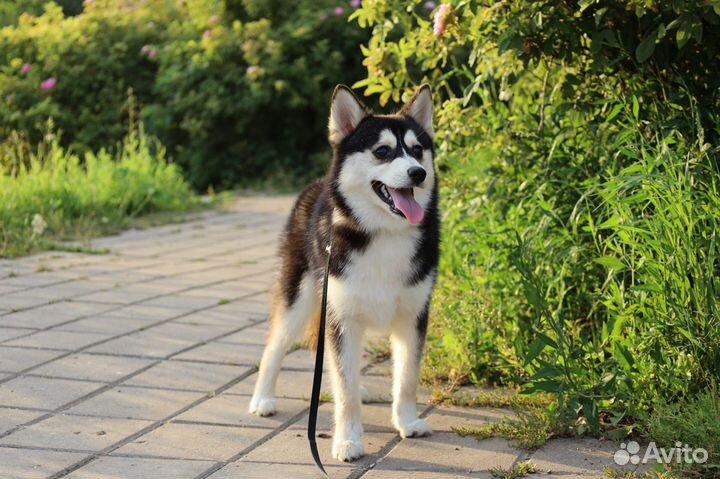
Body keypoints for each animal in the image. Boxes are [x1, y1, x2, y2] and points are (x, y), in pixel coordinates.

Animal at [248, 84, 438, 464]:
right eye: (383, 151)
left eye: (417, 150)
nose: (417, 173)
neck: (383, 234)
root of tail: (318, 184)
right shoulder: (341, 317)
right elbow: (344, 390)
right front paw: (347, 440)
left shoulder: (413, 316)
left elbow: (407, 377)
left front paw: (407, 421)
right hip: (303, 296)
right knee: (275, 344)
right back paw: (262, 397)